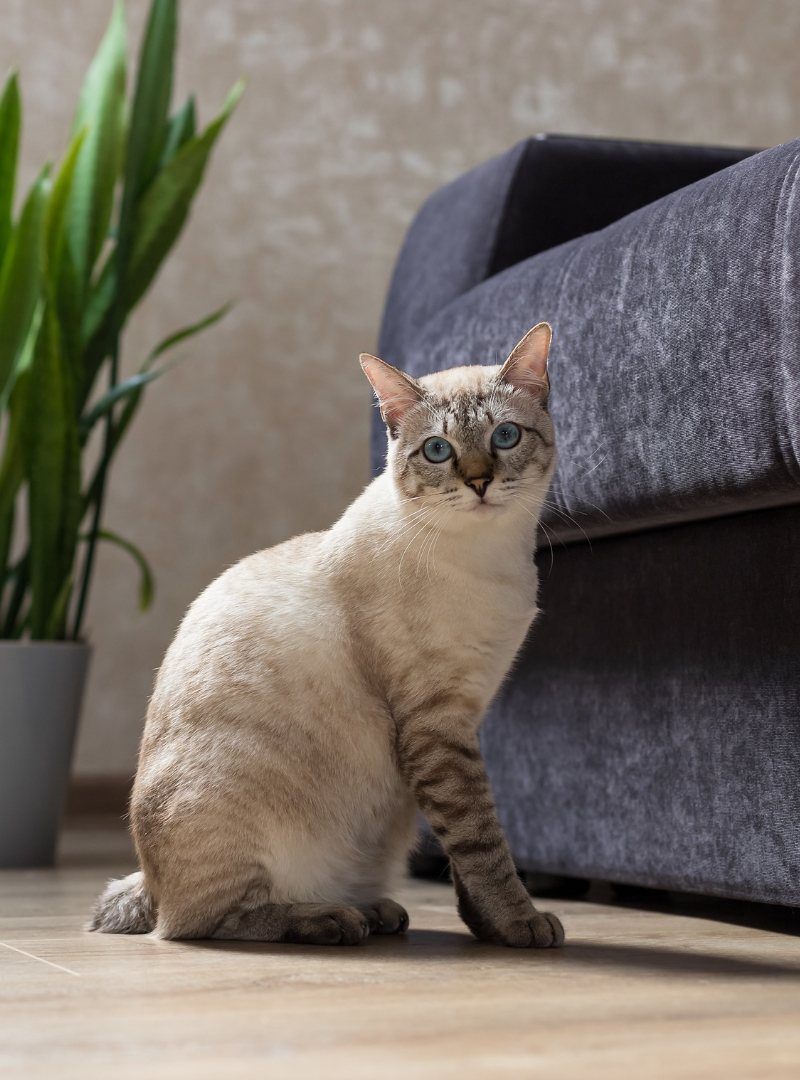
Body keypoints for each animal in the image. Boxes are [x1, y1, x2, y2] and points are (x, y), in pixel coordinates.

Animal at [90, 324, 561, 950]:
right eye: (438, 450)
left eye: (505, 436)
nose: (480, 482)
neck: (497, 561)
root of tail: (147, 877)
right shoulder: (438, 725)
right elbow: (481, 840)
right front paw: (517, 925)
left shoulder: (467, 716)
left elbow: (466, 849)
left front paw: (486, 927)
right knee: (200, 923)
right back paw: (331, 919)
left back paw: (377, 911)